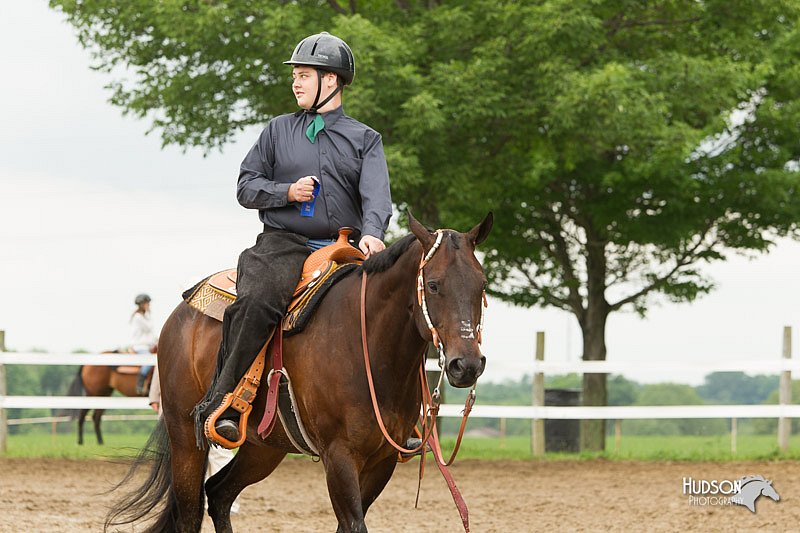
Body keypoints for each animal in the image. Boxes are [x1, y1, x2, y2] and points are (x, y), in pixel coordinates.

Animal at [104, 212, 494, 532]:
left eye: (482, 285)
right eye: (434, 284)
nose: (466, 365)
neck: (367, 344)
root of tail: (181, 315)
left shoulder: (382, 461)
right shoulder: (339, 457)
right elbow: (353, 524)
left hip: (263, 448)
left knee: (219, 494)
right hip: (185, 437)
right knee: (189, 514)